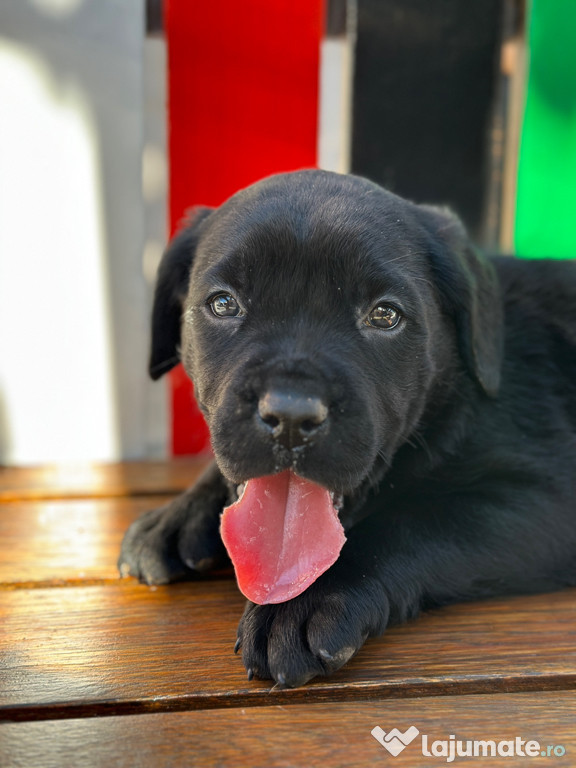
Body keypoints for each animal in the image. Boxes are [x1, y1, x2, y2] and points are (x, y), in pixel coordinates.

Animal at [119, 171, 576, 688]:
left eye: (384, 315)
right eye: (223, 304)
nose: (291, 416)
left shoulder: (547, 499)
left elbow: (409, 521)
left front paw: (306, 600)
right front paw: (177, 516)